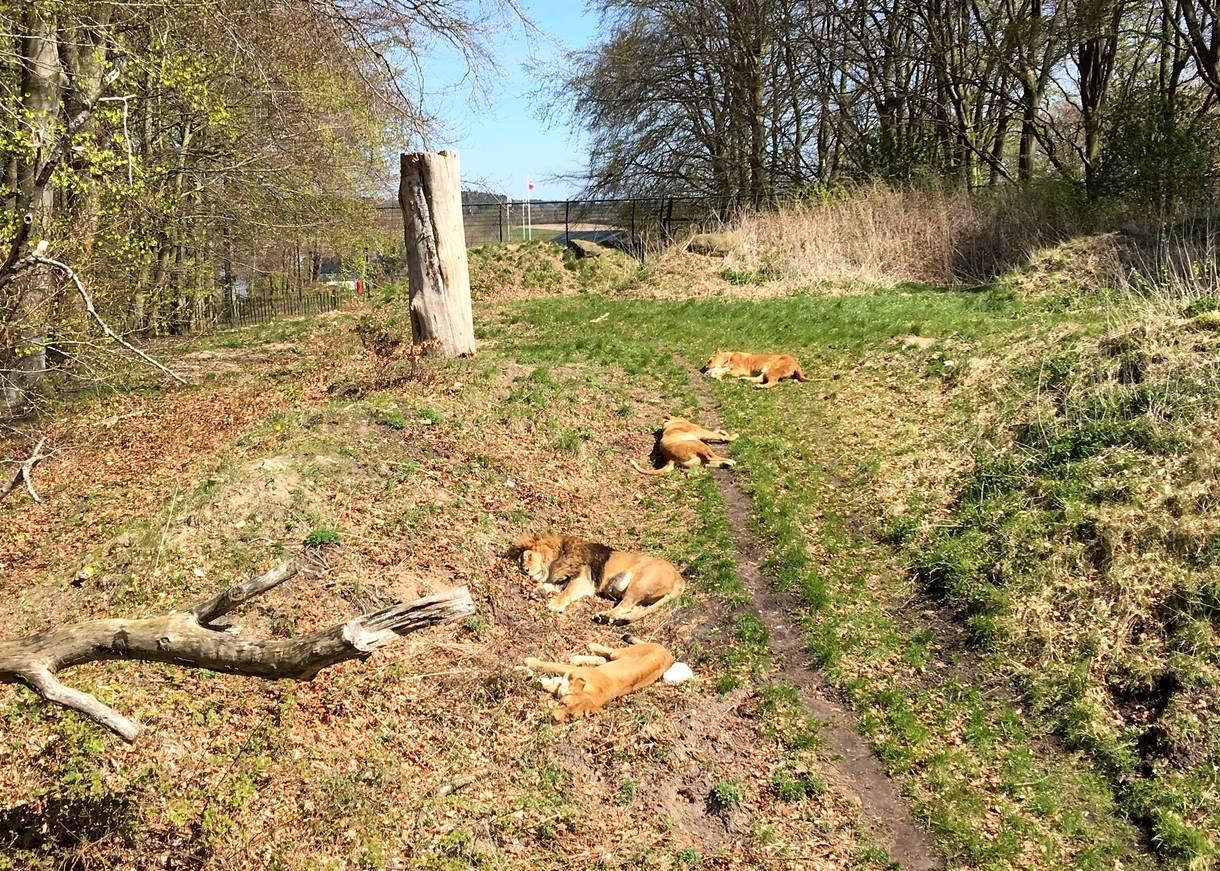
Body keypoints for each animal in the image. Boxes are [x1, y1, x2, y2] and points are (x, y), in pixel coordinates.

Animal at [511, 533, 685, 623]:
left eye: (528, 556)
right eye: (521, 561)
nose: (525, 570)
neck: (558, 558)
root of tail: (680, 578)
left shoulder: (584, 580)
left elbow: (566, 592)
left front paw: (555, 604)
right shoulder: (564, 578)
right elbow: (551, 586)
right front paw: (539, 591)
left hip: (640, 584)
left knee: (625, 606)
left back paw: (604, 616)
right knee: (635, 609)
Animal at [523, 639, 675, 720]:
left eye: (571, 716)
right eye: (563, 703)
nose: (555, 719)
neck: (593, 693)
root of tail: (669, 654)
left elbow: (545, 681)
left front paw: (528, 673)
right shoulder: (569, 671)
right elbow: (549, 665)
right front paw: (528, 662)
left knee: (602, 658)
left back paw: (580, 656)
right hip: (619, 653)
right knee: (608, 652)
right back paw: (592, 646)